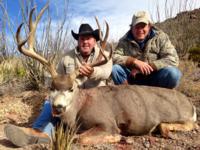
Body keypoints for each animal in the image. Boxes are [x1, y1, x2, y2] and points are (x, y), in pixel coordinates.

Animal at [16, 3, 197, 145]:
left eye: (71, 88)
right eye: (51, 88)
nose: (58, 106)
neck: (78, 111)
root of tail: (191, 104)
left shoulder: (107, 121)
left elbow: (81, 138)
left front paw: (119, 138)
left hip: (180, 115)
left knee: (191, 125)